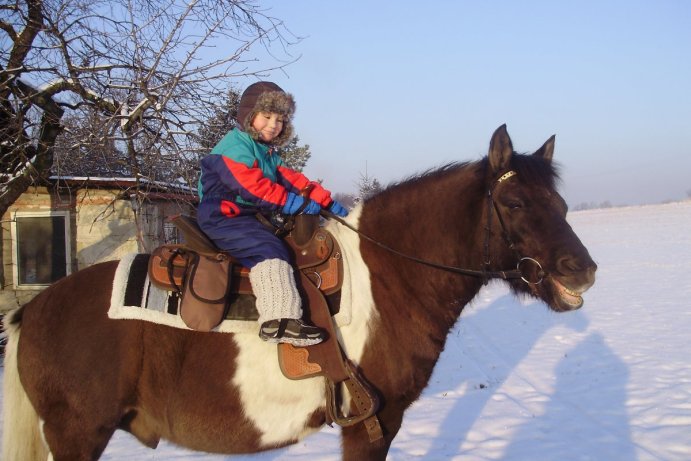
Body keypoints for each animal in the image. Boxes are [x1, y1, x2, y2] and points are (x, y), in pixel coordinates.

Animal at [0, 124, 596, 458]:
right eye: (514, 203)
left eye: (562, 204)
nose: (584, 270)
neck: (389, 276)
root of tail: (35, 310)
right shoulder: (372, 426)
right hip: (78, 433)